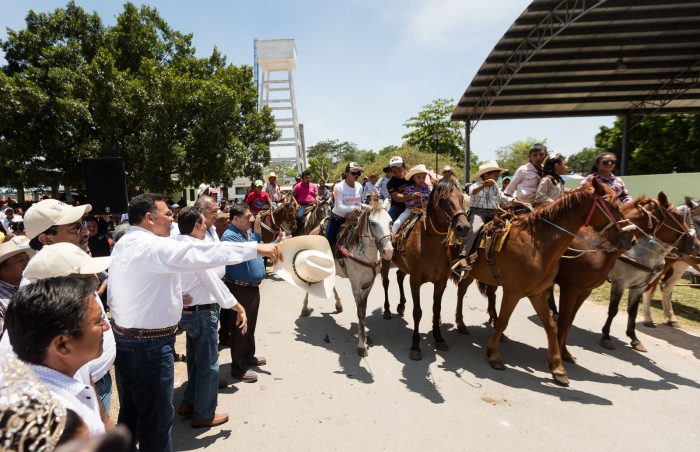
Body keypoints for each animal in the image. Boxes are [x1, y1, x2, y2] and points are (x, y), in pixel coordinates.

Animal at [302, 201, 394, 356]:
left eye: (391, 222)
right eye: (373, 223)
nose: (388, 251)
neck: (364, 254)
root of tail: (313, 230)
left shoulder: (369, 284)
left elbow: (364, 309)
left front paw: (364, 337)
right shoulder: (355, 284)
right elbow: (360, 312)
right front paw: (362, 345)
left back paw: (338, 304)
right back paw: (304, 309)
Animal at [382, 179, 470, 360]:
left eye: (461, 198)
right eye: (442, 199)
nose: (464, 227)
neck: (430, 242)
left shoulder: (441, 281)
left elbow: (436, 309)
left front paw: (439, 337)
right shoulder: (415, 280)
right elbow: (418, 312)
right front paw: (415, 345)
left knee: (399, 276)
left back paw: (401, 305)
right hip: (387, 261)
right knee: (386, 282)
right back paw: (387, 310)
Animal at [454, 179, 636, 384]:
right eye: (614, 206)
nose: (631, 238)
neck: (537, 245)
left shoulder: (538, 293)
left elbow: (551, 326)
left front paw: (558, 367)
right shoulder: (514, 291)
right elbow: (504, 321)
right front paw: (493, 354)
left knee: (477, 292)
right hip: (470, 274)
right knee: (461, 291)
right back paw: (460, 323)